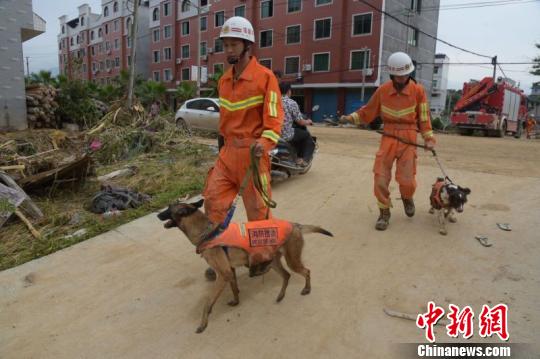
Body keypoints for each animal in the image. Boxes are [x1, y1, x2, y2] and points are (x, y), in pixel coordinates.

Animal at [157, 197, 334, 334]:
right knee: (287, 275)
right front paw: (236, 301)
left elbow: (207, 302)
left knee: (306, 271)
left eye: (169, 208)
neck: (207, 232)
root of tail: (296, 225)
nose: (157, 215)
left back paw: (306, 289)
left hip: (292, 260)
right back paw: (280, 295)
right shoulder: (230, 271)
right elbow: (234, 288)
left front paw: (203, 324)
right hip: (274, 261)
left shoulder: (223, 274)